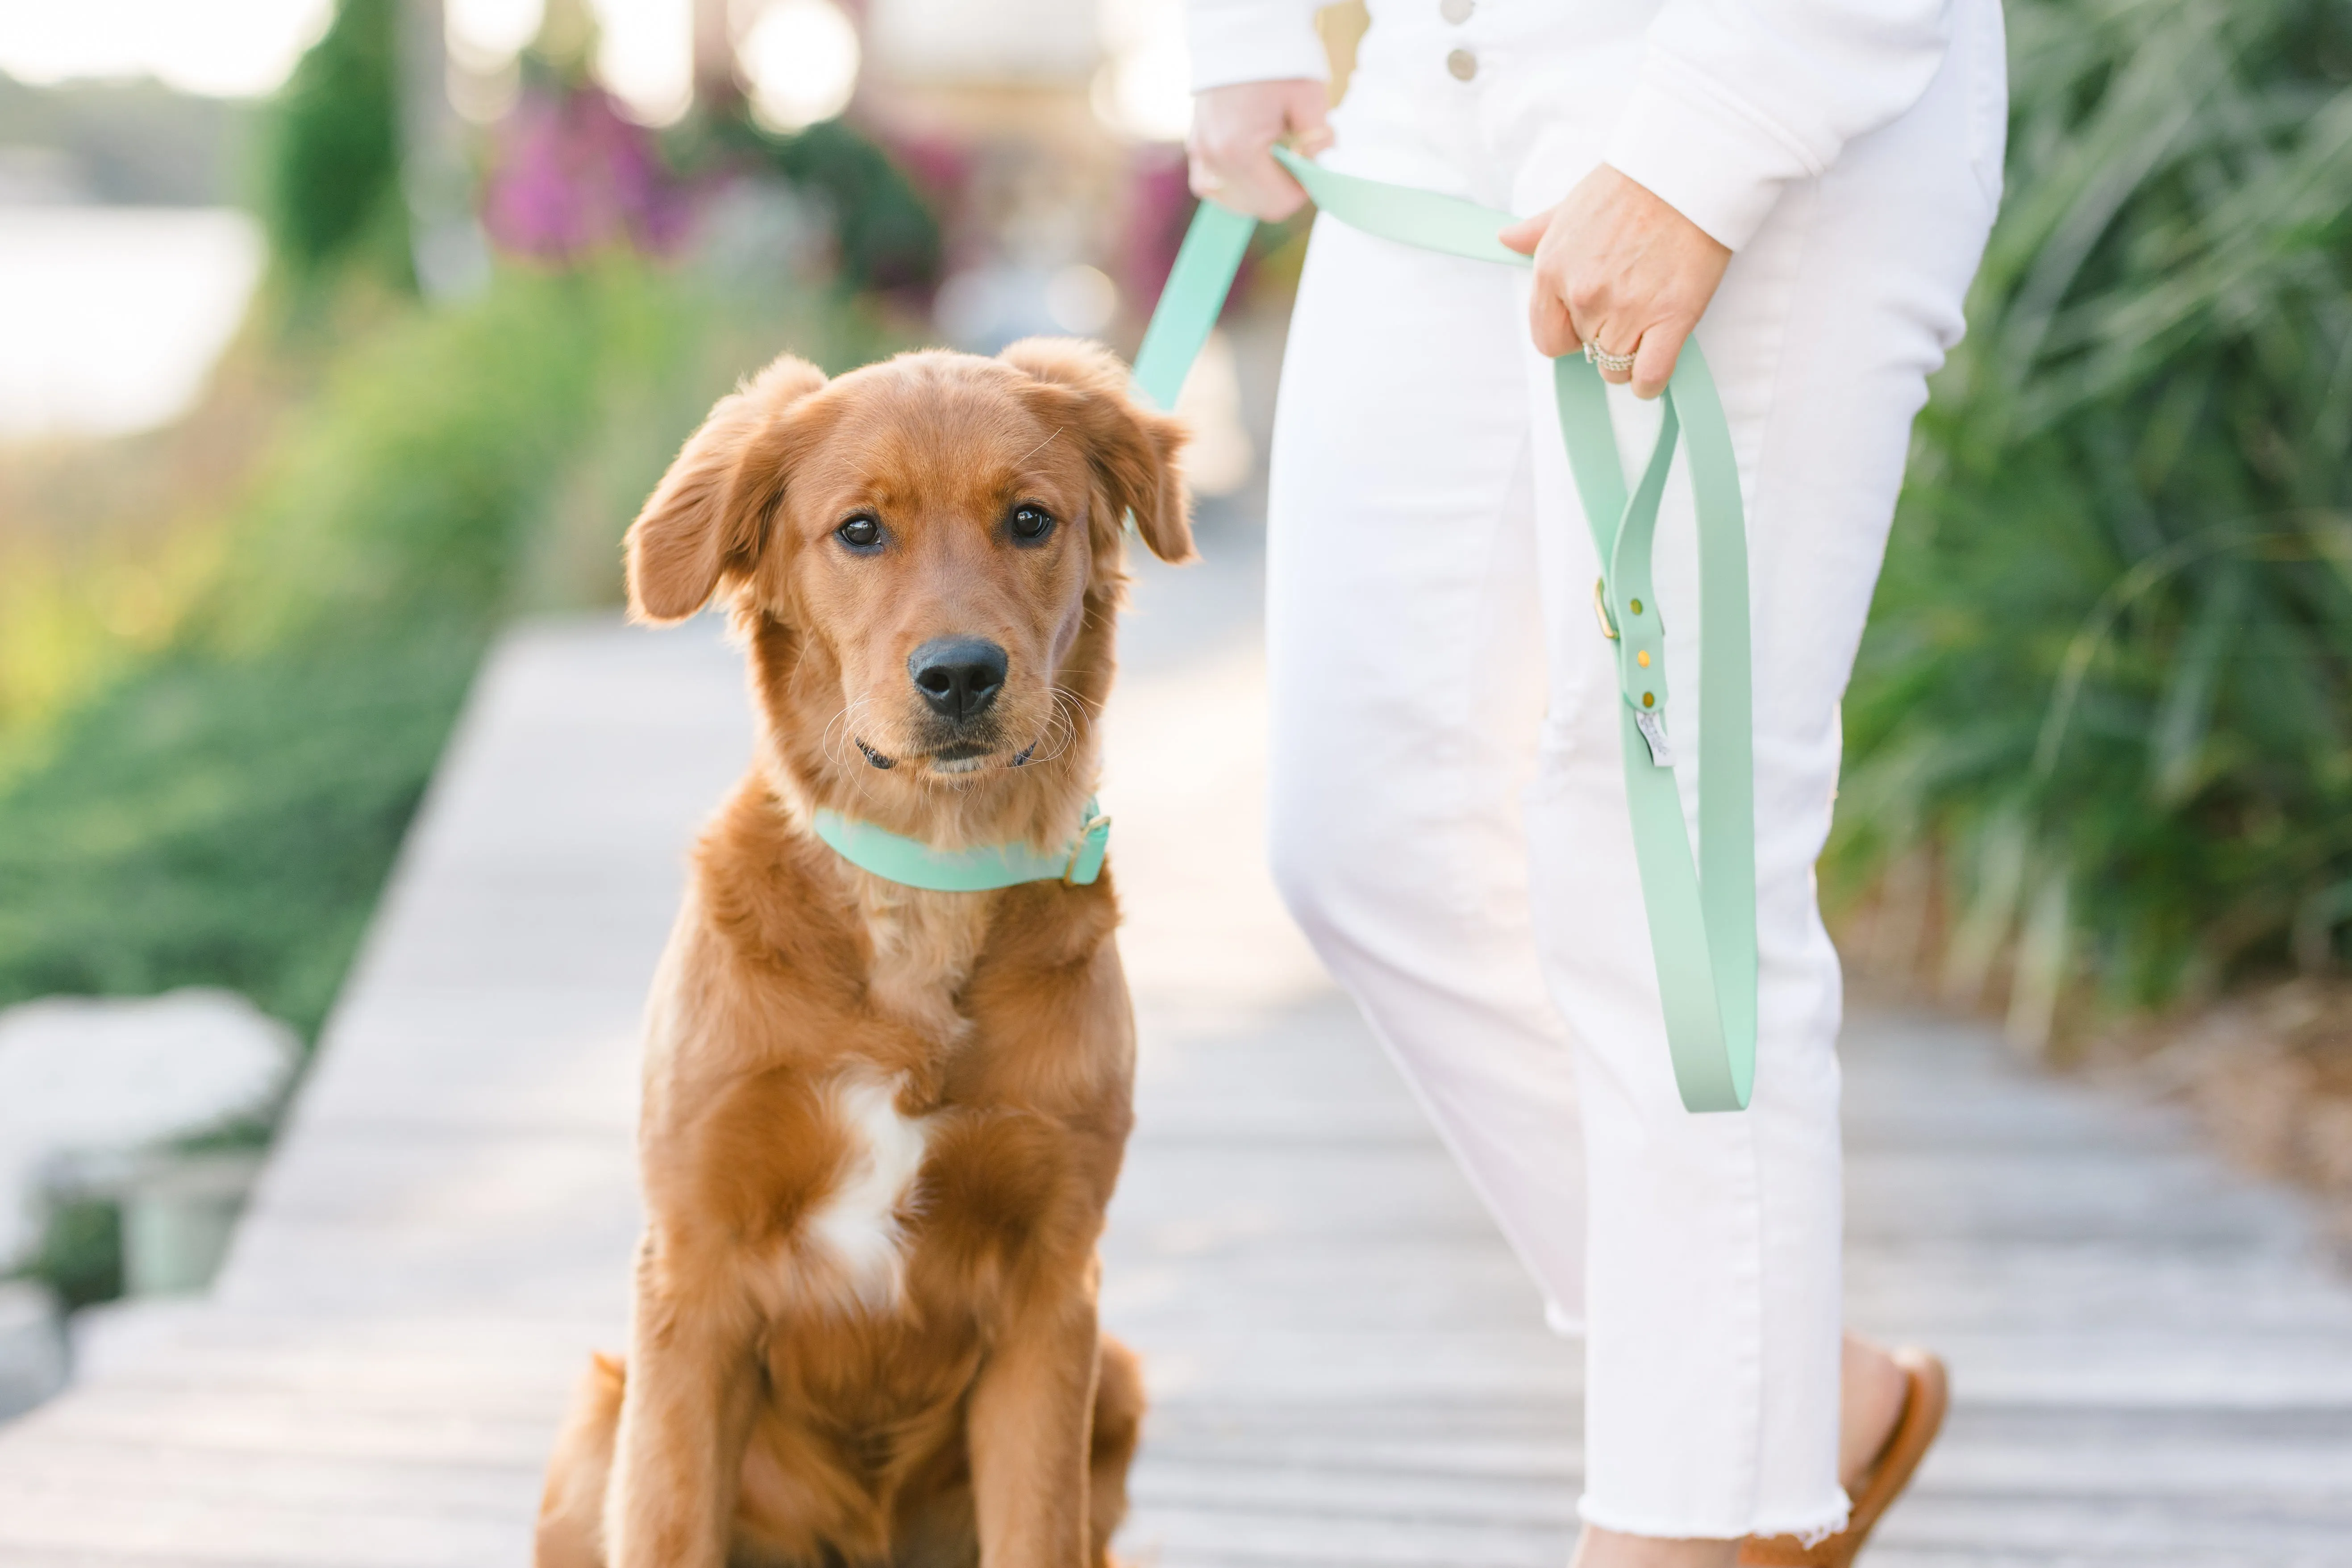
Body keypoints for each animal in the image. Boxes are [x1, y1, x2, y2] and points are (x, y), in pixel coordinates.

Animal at [536, 341, 1195, 1568]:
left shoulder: (1053, 1286)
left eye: (1030, 519)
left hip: (1119, 1379)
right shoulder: (691, 1272)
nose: (961, 674)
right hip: (596, 1420)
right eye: (858, 531)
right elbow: (669, 1522)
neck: (923, 886)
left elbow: (1037, 1525)